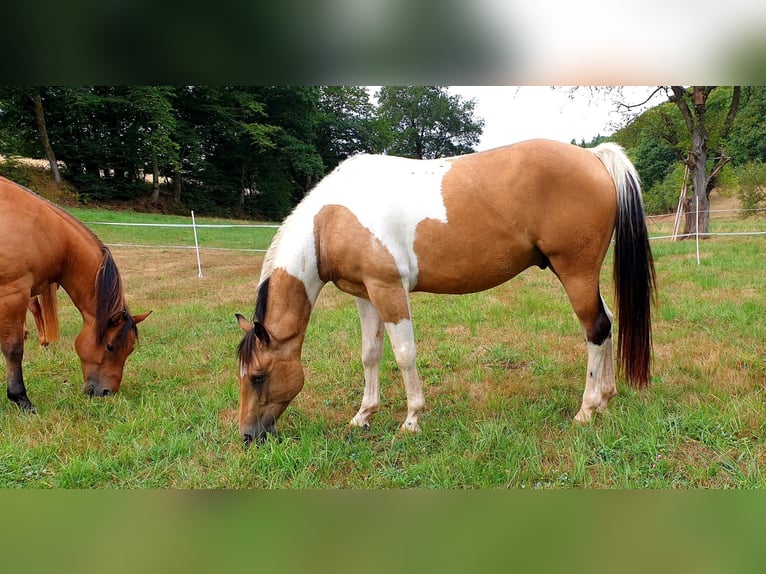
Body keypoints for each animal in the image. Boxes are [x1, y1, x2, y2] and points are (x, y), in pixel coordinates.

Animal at [0, 176, 151, 412]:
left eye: (131, 349)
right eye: (110, 347)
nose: (107, 393)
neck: (44, 232)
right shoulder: (12, 294)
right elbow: (13, 348)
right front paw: (20, 398)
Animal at [235, 139, 656, 445]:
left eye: (257, 376)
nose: (248, 436)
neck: (330, 218)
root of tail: (593, 155)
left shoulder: (388, 289)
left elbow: (404, 354)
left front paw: (411, 419)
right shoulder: (364, 293)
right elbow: (370, 355)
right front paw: (363, 416)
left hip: (575, 272)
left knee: (596, 329)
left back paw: (586, 410)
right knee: (608, 323)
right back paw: (606, 399)